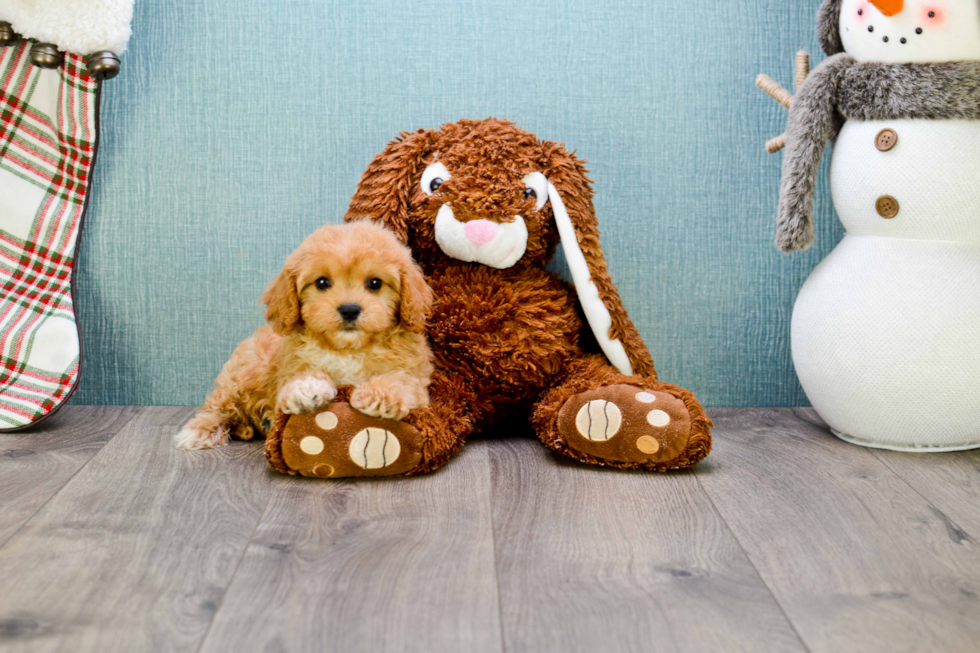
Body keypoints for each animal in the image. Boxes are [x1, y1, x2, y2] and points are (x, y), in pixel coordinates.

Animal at [175, 222, 432, 450]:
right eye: (322, 283)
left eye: (375, 283)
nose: (349, 309)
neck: (347, 349)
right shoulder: (291, 365)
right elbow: (302, 376)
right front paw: (307, 388)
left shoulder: (416, 376)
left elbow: (402, 380)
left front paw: (381, 394)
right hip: (245, 372)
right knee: (218, 404)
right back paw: (201, 429)